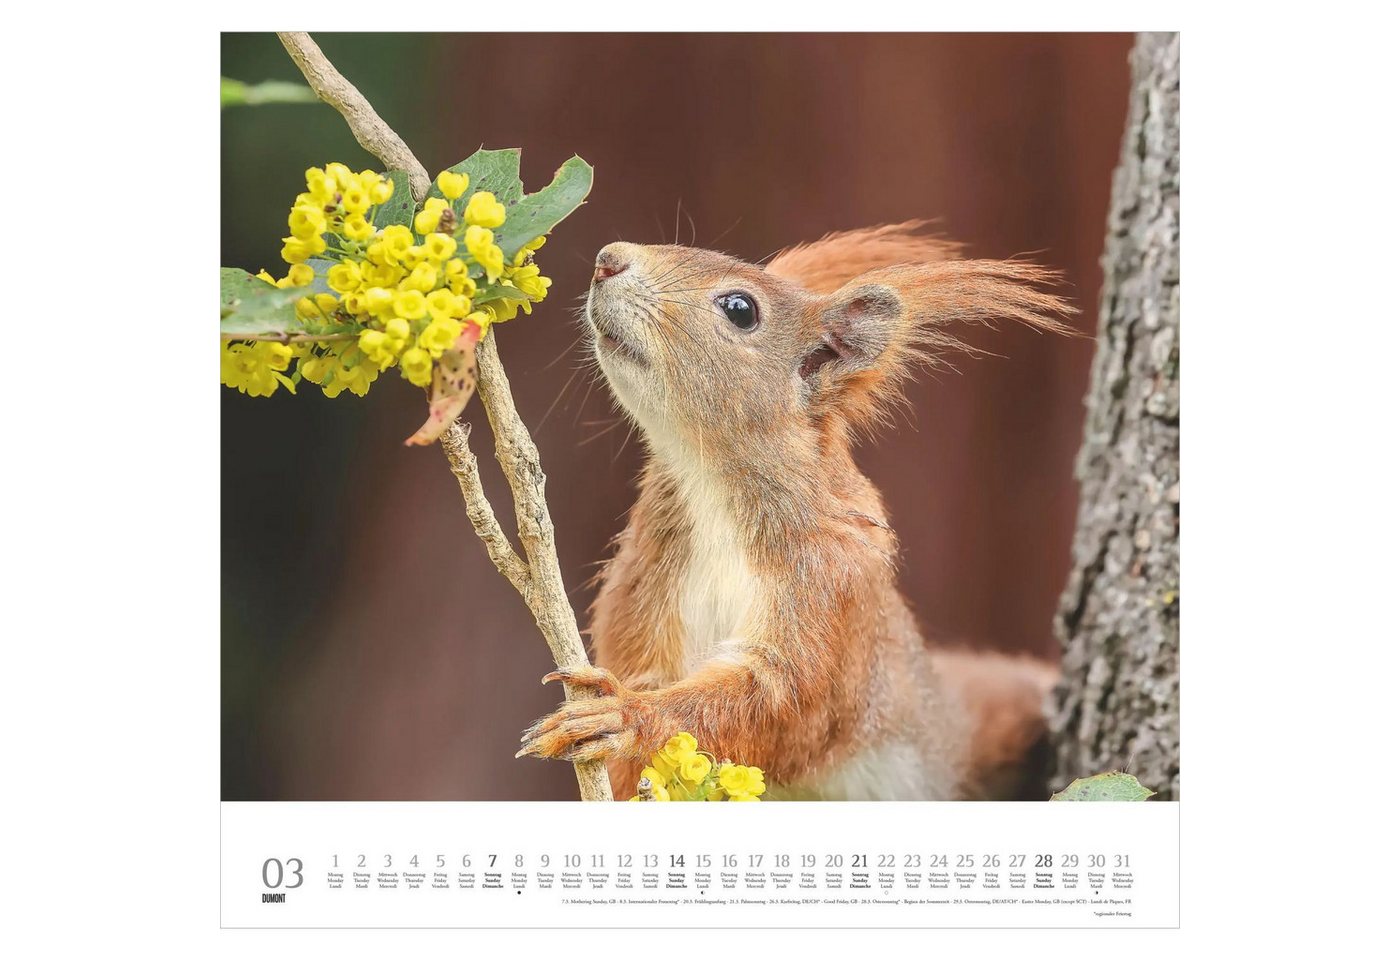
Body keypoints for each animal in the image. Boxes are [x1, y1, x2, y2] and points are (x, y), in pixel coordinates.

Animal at [516, 221, 1075, 800]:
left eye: (740, 309)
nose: (609, 260)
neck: (712, 488)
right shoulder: (643, 579)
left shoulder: (833, 585)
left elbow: (781, 702)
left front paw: (625, 716)